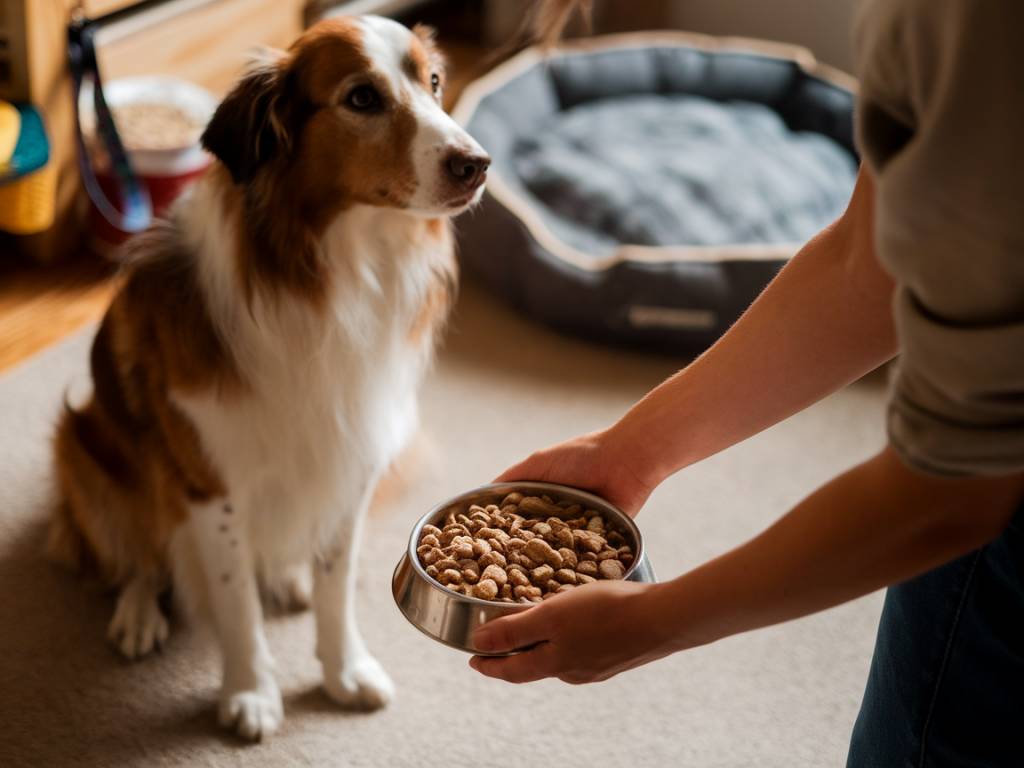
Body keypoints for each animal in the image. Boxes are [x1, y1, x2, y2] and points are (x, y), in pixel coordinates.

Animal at [49, 16, 489, 741]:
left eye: (432, 82)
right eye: (361, 98)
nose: (477, 163)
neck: (340, 270)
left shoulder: (351, 461)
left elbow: (336, 587)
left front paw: (343, 671)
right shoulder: (211, 483)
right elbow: (235, 605)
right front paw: (251, 692)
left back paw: (286, 577)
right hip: (83, 446)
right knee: (136, 554)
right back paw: (139, 612)